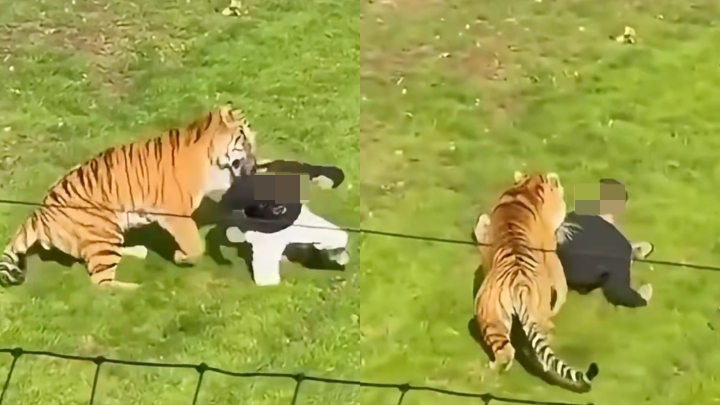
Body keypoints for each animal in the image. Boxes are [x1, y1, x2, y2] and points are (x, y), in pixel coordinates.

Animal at [0, 103, 257, 290]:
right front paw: (180, 257)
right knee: (102, 283)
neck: (213, 161)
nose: (255, 161)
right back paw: (136, 289)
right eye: (245, 138)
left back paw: (138, 251)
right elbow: (196, 245)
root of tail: (39, 213)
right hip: (104, 229)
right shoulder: (176, 214)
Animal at [473, 171, 599, 393]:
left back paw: (489, 372)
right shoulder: (550, 249)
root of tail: (518, 286)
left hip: (490, 315)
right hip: (533, 315)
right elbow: (560, 279)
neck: (525, 189)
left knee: (506, 352)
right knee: (543, 347)